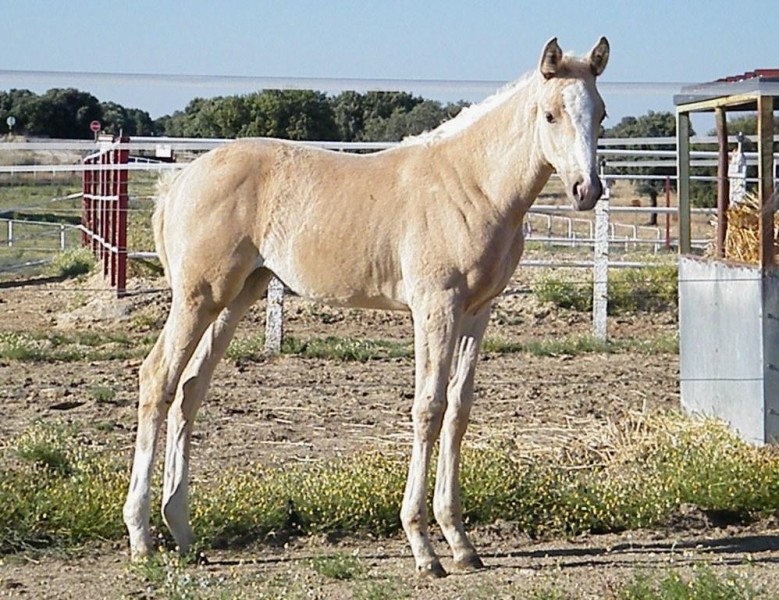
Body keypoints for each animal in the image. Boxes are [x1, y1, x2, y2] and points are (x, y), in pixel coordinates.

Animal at [123, 36, 610, 577]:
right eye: (549, 114)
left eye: (601, 114)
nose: (586, 190)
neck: (473, 186)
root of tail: (179, 181)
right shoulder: (435, 306)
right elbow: (429, 408)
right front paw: (424, 548)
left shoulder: (476, 311)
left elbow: (459, 411)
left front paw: (461, 543)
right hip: (198, 297)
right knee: (157, 380)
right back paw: (141, 537)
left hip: (236, 297)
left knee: (189, 391)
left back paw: (183, 533)